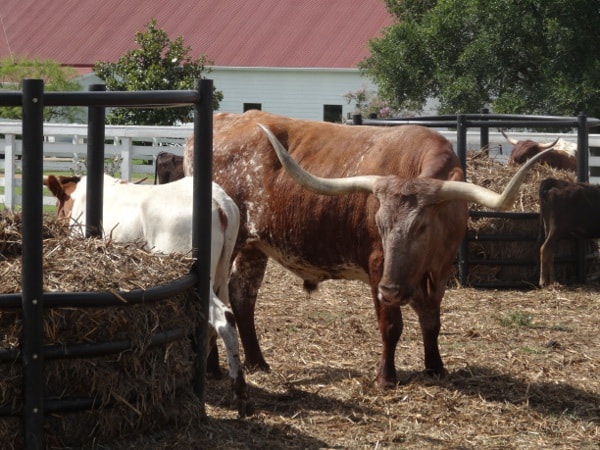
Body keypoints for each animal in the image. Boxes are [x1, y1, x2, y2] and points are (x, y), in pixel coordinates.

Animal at [184, 110, 552, 386]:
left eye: (421, 227)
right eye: (380, 225)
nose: (390, 290)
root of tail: (223, 120)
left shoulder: (440, 271)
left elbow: (431, 320)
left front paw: (435, 367)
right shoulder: (378, 266)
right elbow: (391, 325)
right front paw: (386, 378)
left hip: (253, 245)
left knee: (242, 297)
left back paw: (257, 363)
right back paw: (213, 369)